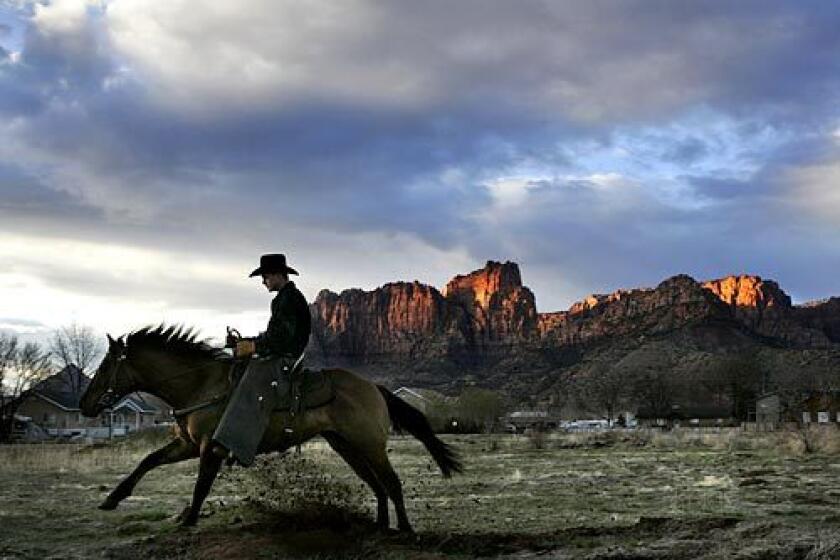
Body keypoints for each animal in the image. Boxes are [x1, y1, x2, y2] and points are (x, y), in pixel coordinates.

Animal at [79, 324, 462, 528]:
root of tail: (373, 387)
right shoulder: (187, 445)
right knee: (377, 484)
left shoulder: (211, 448)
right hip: (347, 446)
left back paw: (406, 530)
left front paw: (188, 520)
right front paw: (113, 499)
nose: (84, 405)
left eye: (104, 367)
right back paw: (381, 527)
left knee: (392, 483)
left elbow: (201, 487)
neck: (200, 384)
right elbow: (148, 461)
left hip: (369, 445)